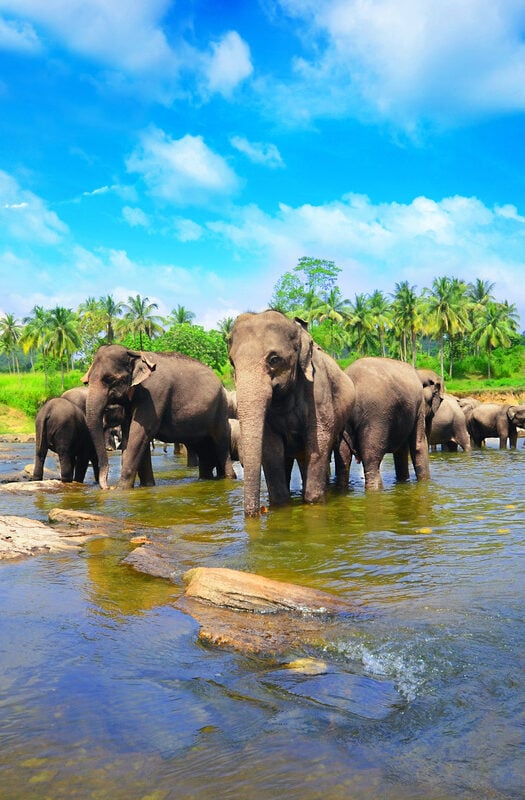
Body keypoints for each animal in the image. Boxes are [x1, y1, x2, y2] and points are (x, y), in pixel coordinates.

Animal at [82, 344, 235, 488]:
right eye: (87, 381)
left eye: (110, 379)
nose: (108, 487)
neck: (134, 353)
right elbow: (129, 436)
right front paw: (146, 486)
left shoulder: (154, 394)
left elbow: (139, 434)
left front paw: (121, 489)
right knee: (203, 449)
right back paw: (206, 479)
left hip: (221, 409)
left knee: (220, 444)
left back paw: (230, 478)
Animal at [227, 310, 354, 516]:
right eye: (232, 363)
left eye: (274, 359)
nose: (259, 512)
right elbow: (271, 447)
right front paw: (280, 505)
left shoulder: (318, 390)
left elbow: (319, 440)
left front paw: (313, 502)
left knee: (337, 451)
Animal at [342, 360, 432, 490]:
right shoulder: (419, 405)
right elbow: (418, 445)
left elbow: (401, 450)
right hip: (376, 416)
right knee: (371, 460)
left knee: (343, 458)